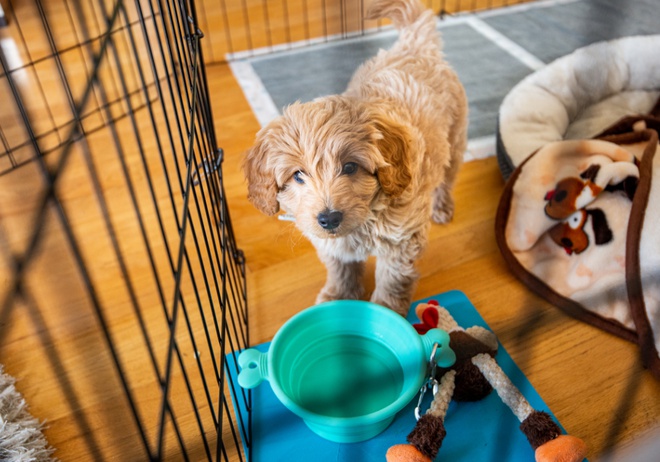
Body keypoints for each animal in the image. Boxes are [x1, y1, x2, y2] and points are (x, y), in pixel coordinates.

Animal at [245, 0, 466, 316]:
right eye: (298, 175)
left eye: (350, 167)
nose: (328, 218)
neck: (366, 217)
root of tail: (414, 45)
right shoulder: (333, 245)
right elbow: (341, 268)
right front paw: (338, 295)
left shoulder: (401, 242)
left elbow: (392, 280)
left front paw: (387, 310)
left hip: (456, 137)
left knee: (447, 179)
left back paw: (442, 206)